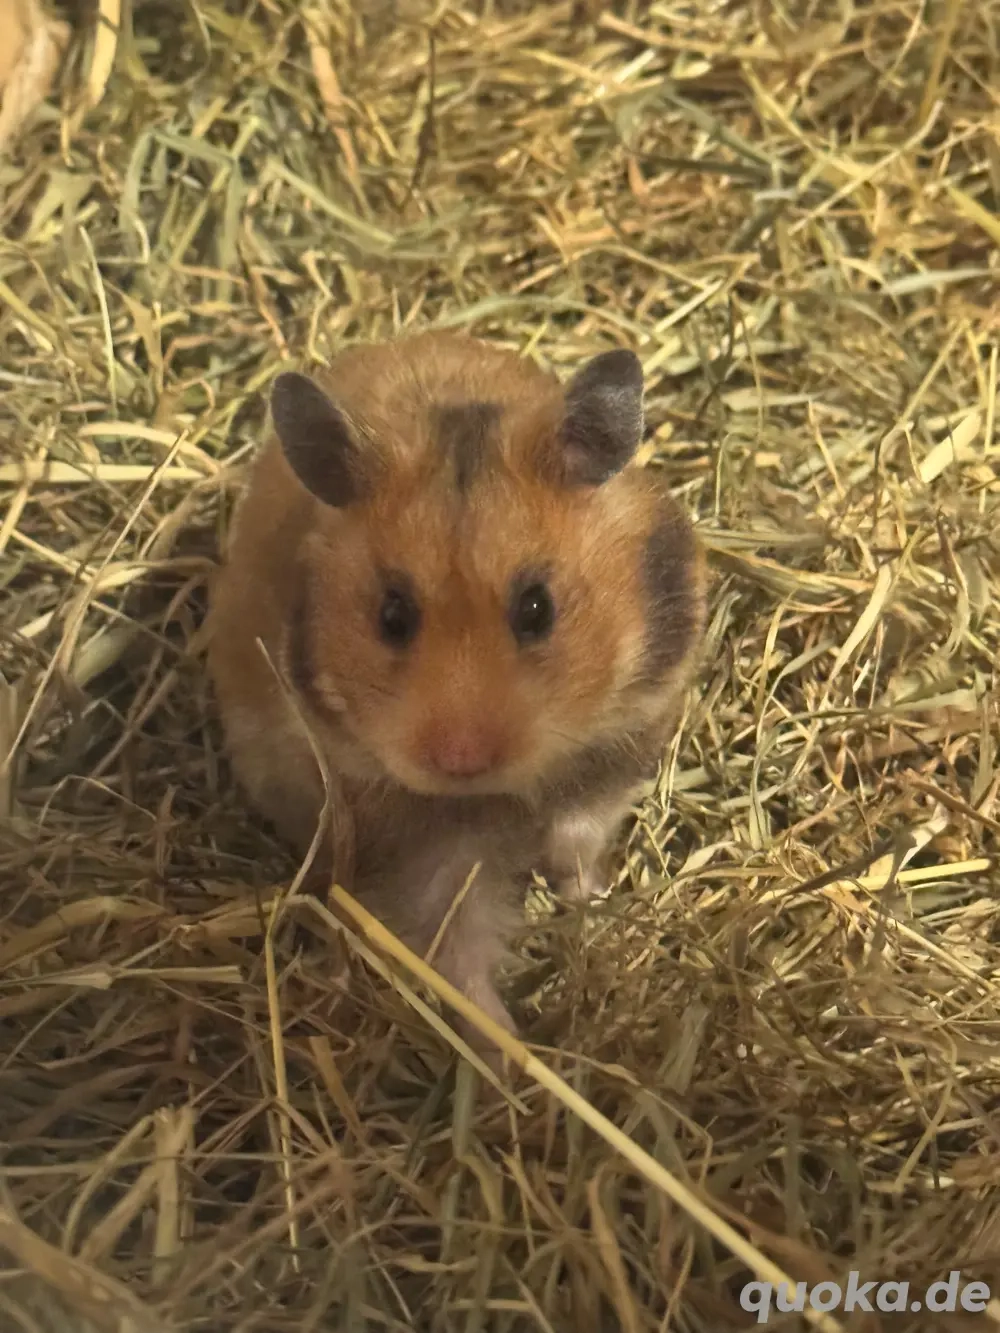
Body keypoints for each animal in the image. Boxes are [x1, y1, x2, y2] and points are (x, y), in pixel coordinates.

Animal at [206, 330, 707, 1060]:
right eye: (392, 615)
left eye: (537, 608)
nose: (460, 760)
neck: (500, 792)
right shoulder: (414, 835)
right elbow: (456, 942)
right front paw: (514, 1057)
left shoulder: (621, 744)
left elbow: (577, 841)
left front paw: (588, 910)